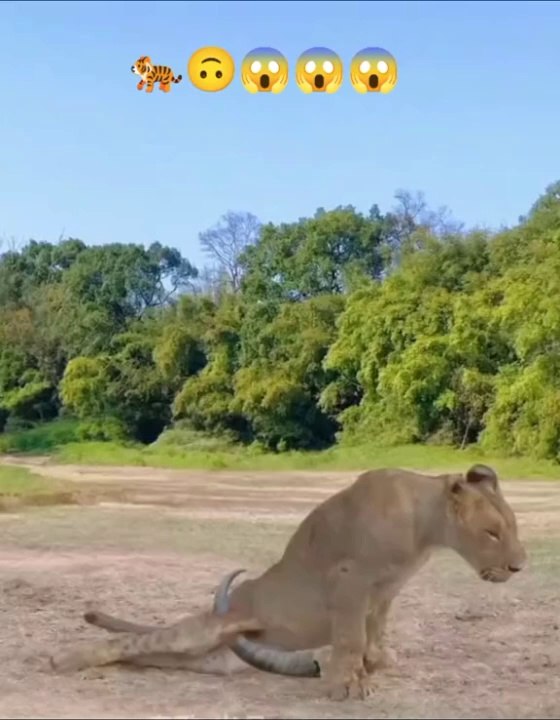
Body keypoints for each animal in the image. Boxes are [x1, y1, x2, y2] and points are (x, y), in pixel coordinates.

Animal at [50, 464, 526, 701]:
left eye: (513, 527)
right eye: (491, 533)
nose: (520, 566)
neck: (426, 532)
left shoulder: (385, 593)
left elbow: (374, 632)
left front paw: (374, 664)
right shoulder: (350, 581)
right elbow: (351, 637)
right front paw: (348, 684)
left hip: (206, 658)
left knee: (152, 655)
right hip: (204, 630)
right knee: (130, 643)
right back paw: (63, 660)